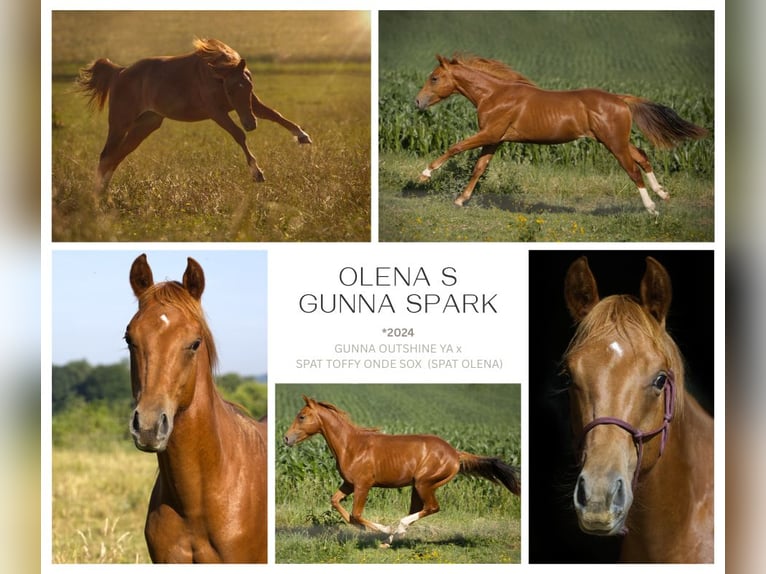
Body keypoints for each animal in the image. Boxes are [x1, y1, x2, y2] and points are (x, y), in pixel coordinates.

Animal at [78, 38, 312, 194]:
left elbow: (275, 115)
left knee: (117, 155)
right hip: (120, 123)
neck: (215, 76)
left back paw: (103, 193)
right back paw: (98, 196)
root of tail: (119, 72)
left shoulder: (251, 103)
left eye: (249, 85)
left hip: (145, 125)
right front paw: (257, 173)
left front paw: (302, 136)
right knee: (106, 155)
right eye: (229, 90)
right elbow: (239, 135)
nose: (250, 124)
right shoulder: (216, 112)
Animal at [283, 395, 520, 546]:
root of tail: (455, 453)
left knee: (432, 507)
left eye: (302, 416)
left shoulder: (363, 485)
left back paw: (395, 530)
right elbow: (336, 503)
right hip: (418, 486)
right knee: (418, 509)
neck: (351, 446)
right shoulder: (349, 484)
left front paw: (381, 529)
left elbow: (356, 513)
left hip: (425, 483)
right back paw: (391, 539)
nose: (285, 438)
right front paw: (366, 530)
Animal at [415, 54, 708, 214]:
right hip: (618, 141)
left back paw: (652, 208)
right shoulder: (495, 140)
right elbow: (479, 168)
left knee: (633, 170)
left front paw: (424, 175)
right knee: (644, 157)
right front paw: (460, 199)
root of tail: (621, 99)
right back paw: (663, 194)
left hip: (614, 143)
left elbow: (455, 147)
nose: (417, 102)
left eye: (434, 78)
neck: (494, 95)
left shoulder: (488, 134)